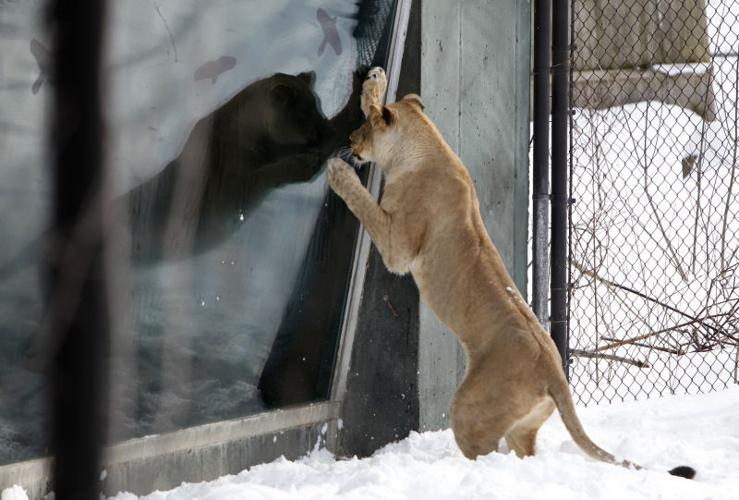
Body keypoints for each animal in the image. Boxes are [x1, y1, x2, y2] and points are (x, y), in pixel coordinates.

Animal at [327, 67, 695, 479]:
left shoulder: (398, 246)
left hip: (470, 409)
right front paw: (375, 80)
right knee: (523, 452)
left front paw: (339, 171)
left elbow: (364, 204)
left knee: (485, 452)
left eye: (362, 129)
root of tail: (555, 373)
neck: (429, 144)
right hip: (522, 426)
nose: (348, 141)